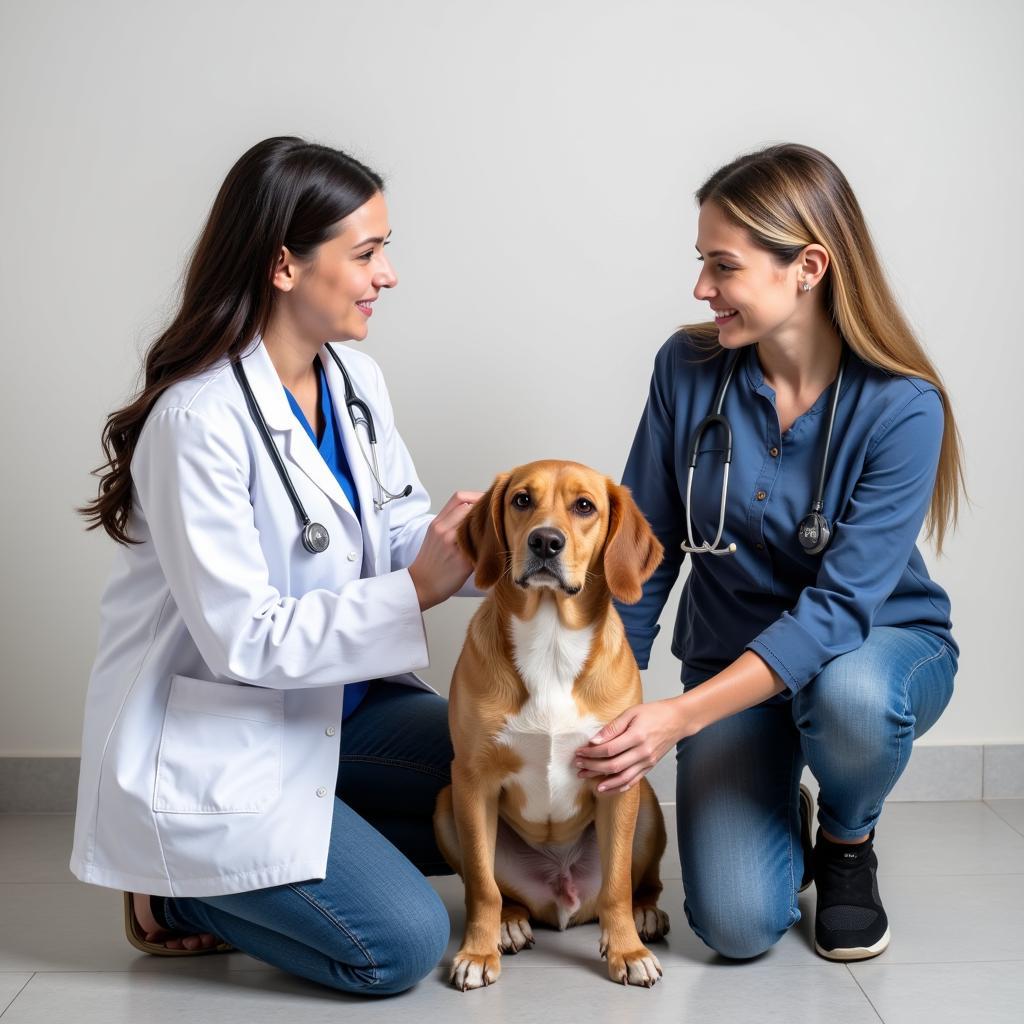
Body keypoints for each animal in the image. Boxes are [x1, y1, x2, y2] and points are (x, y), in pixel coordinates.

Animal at [434, 460, 667, 987]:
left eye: (584, 506)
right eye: (522, 499)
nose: (545, 541)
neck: (551, 641)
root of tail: (564, 896)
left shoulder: (617, 775)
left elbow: (619, 885)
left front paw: (627, 951)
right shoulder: (472, 780)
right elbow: (482, 886)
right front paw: (477, 952)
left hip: (644, 799)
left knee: (636, 885)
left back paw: (645, 914)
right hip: (445, 805)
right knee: (501, 892)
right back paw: (510, 923)